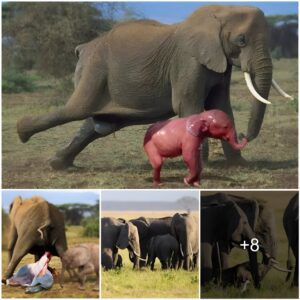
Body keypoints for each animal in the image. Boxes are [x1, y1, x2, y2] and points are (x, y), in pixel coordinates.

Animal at [15, 4, 292, 169]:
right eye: (241, 40)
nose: (244, 137)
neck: (219, 12)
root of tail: (82, 47)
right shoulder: (187, 61)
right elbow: (188, 105)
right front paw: (201, 166)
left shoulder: (219, 64)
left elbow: (221, 106)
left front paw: (239, 164)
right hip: (94, 71)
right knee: (77, 110)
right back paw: (22, 132)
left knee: (98, 124)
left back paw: (58, 164)